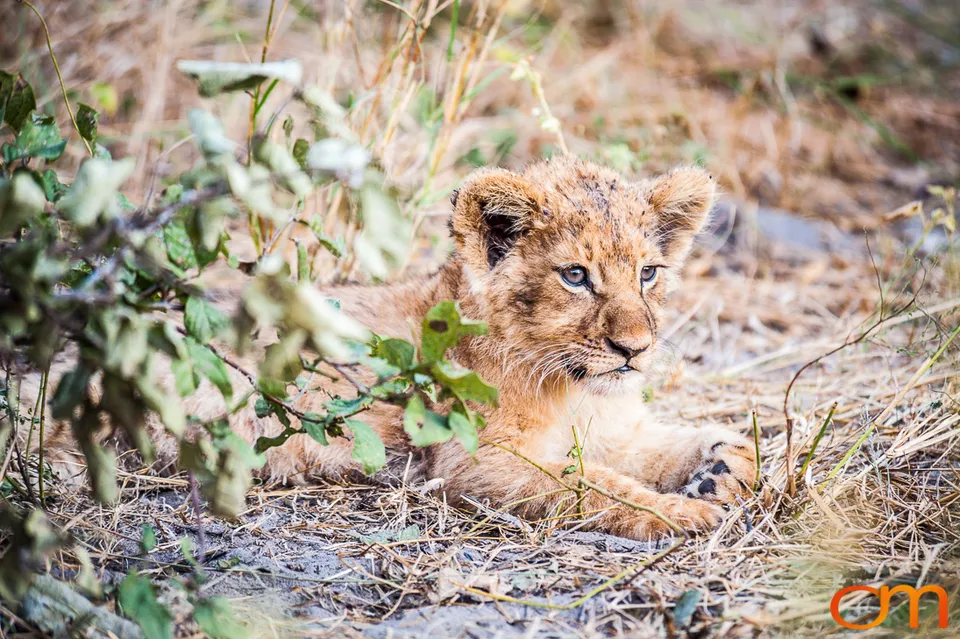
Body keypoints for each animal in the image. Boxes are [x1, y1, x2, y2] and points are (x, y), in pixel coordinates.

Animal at [33, 156, 757, 540]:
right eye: (576, 276)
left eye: (649, 274)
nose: (635, 348)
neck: (577, 389)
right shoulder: (475, 462)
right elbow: (592, 485)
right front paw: (682, 511)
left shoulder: (616, 428)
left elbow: (676, 443)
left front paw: (726, 467)